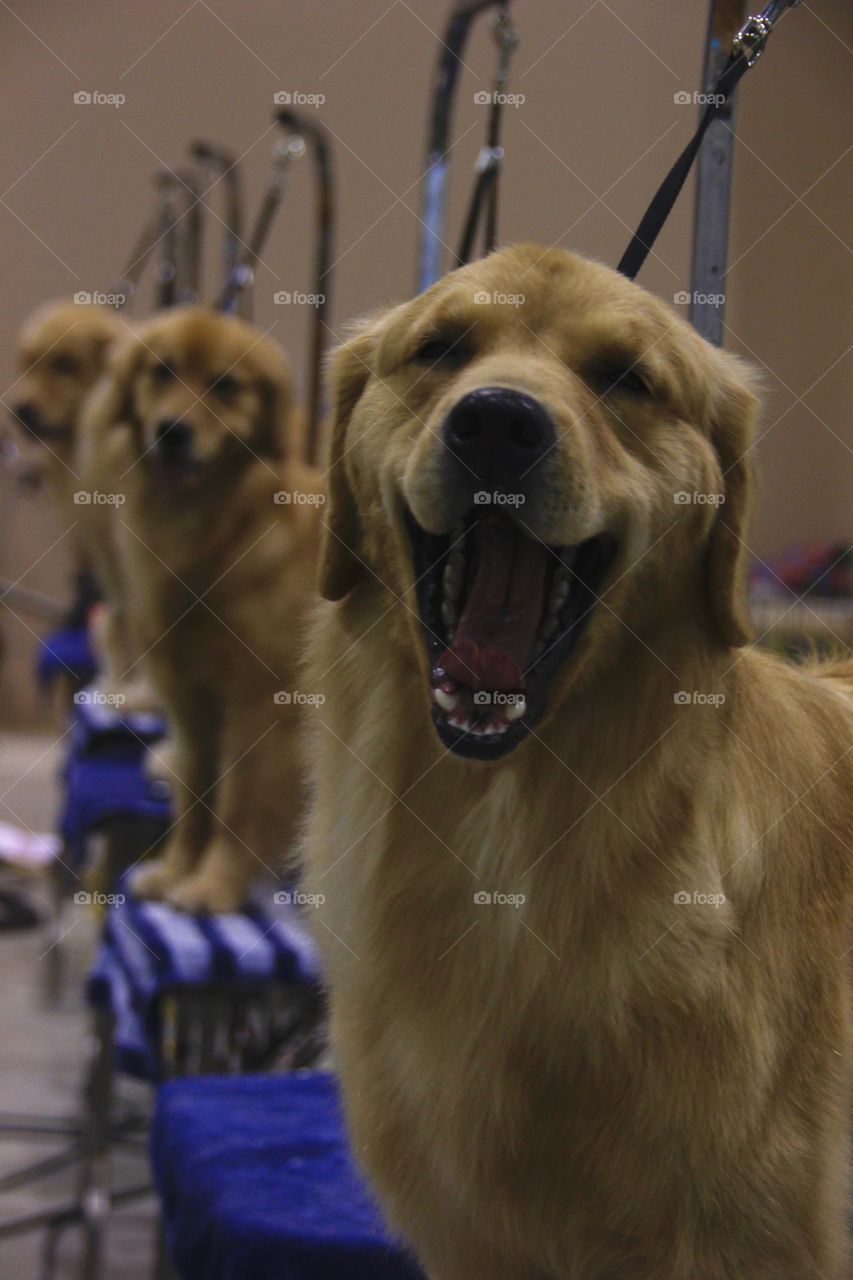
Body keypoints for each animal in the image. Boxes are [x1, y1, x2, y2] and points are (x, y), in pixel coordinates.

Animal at [87, 308, 322, 911]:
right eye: (161, 372)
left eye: (226, 386)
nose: (171, 432)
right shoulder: (189, 701)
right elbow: (194, 798)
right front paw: (175, 871)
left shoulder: (259, 707)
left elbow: (236, 809)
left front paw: (212, 886)